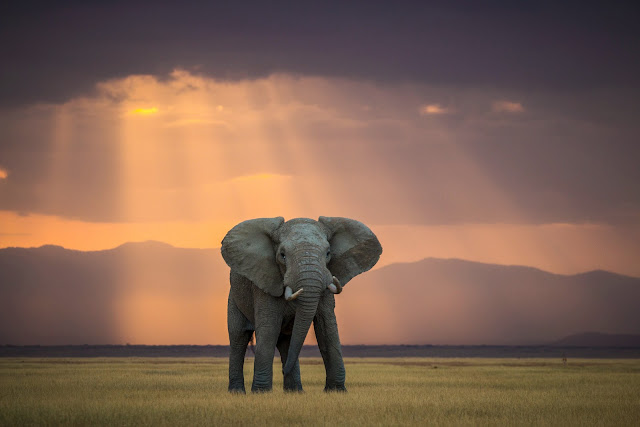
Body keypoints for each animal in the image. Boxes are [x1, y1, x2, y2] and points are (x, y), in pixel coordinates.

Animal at [221, 216, 382, 393]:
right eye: (282, 255)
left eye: (328, 253)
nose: (283, 371)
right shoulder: (264, 284)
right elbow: (269, 329)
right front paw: (261, 393)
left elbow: (327, 328)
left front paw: (337, 391)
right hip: (233, 297)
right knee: (238, 337)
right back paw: (237, 393)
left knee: (286, 341)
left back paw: (294, 392)